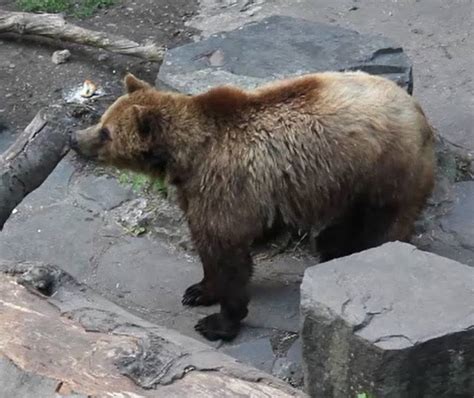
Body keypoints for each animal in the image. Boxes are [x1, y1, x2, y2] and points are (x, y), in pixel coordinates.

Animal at [69, 71, 434, 342]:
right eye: (102, 121)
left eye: (105, 132)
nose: (74, 138)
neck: (186, 158)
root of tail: (417, 111)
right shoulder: (197, 192)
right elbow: (206, 245)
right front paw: (199, 290)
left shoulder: (225, 186)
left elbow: (228, 253)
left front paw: (218, 322)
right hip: (350, 179)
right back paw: (331, 245)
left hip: (386, 169)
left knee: (384, 224)